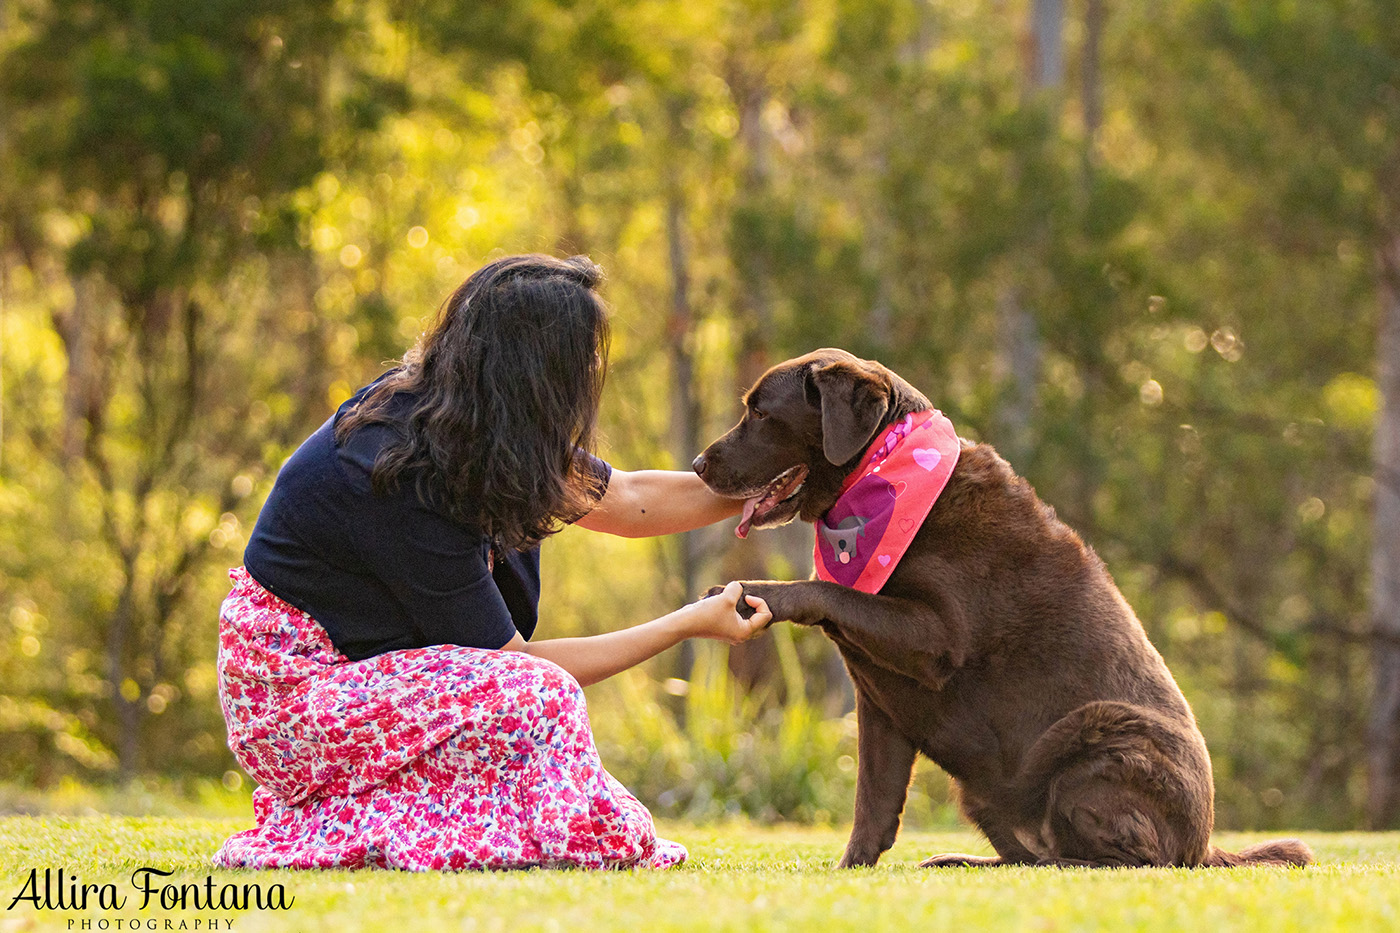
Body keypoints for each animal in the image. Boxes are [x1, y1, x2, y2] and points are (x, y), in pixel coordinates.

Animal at [697, 348, 1310, 862]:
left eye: (760, 412)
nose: (700, 464)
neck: (886, 471)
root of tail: (1204, 846)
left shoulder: (935, 639)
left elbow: (829, 590)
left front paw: (758, 594)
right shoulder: (879, 703)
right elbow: (873, 805)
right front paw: (851, 870)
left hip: (1100, 734)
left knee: (1130, 859)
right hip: (985, 792)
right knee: (1027, 855)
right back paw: (962, 859)